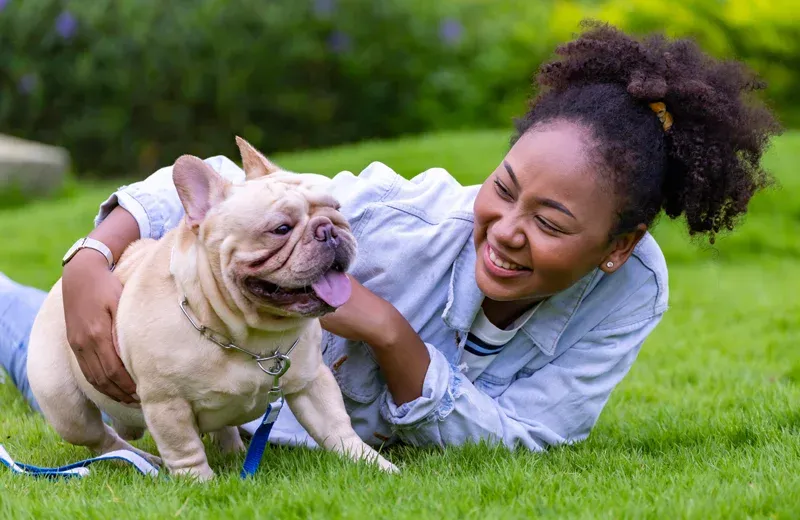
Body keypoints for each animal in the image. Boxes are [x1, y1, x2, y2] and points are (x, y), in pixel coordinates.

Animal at [25, 137, 396, 480]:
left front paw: (374, 465)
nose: (329, 229)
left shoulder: (311, 381)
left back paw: (231, 450)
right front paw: (199, 482)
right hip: (67, 409)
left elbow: (337, 427)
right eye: (281, 229)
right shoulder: (166, 404)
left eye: (337, 209)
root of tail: (56, 290)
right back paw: (142, 459)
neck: (248, 336)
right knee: (102, 440)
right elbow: (184, 448)